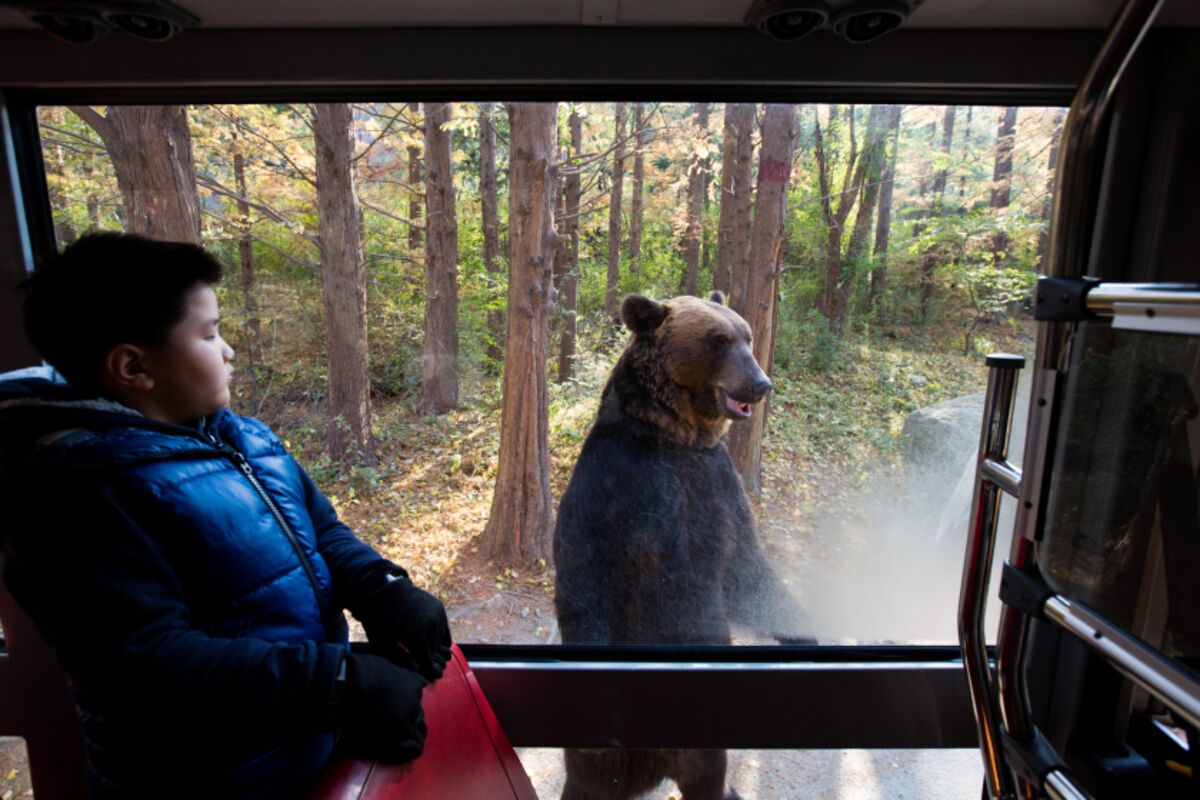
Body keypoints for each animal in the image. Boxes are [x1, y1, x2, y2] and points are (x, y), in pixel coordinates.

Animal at [553, 291, 814, 800]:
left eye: (746, 335)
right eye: (719, 340)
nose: (760, 384)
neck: (675, 437)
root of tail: (652, 767)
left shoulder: (718, 488)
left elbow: (747, 571)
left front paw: (806, 632)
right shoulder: (616, 487)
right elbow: (583, 570)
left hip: (703, 748)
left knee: (709, 777)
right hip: (600, 765)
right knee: (589, 780)